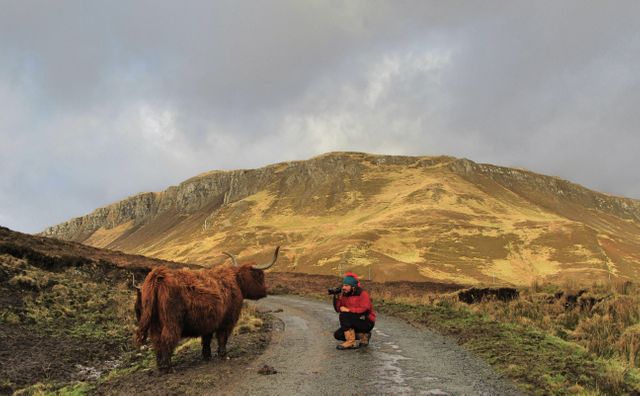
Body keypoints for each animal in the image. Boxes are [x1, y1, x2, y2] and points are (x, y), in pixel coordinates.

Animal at [134, 246, 278, 370]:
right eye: (259, 275)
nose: (265, 291)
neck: (235, 282)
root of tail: (158, 275)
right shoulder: (227, 321)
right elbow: (222, 338)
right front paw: (222, 355)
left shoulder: (208, 322)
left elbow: (206, 340)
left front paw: (207, 356)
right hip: (171, 321)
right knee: (167, 339)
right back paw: (167, 367)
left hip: (155, 322)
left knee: (156, 341)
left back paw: (160, 365)